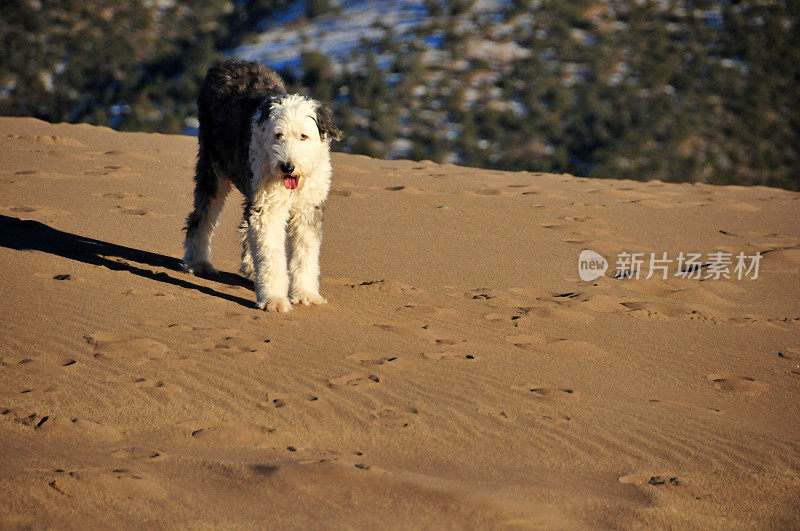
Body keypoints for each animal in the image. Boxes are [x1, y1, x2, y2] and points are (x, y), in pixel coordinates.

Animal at [183, 59, 342, 312]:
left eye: (303, 136)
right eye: (278, 135)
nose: (287, 167)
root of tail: (225, 64)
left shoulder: (307, 209)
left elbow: (305, 253)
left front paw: (306, 295)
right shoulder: (268, 208)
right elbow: (271, 254)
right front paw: (274, 300)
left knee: (244, 227)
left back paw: (249, 268)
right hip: (213, 164)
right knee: (202, 217)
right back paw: (198, 263)